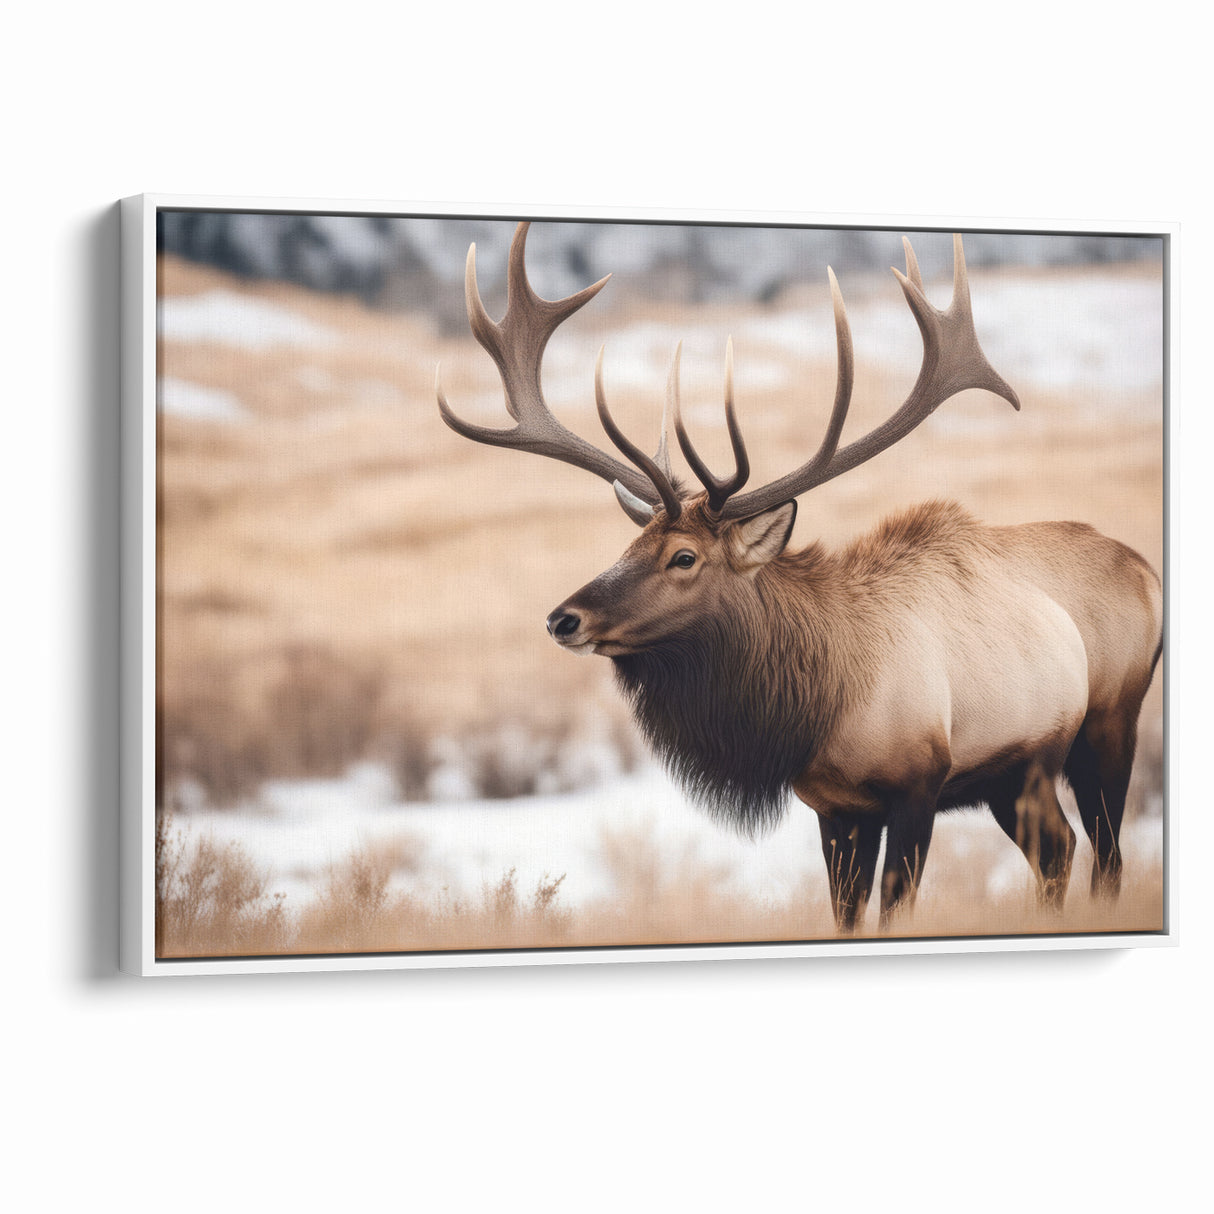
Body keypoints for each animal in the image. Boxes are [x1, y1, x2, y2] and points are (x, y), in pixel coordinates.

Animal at [436, 222, 1162, 931]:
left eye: (683, 557)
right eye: (631, 541)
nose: (564, 618)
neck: (821, 709)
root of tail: (1147, 570)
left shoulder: (920, 782)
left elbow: (896, 907)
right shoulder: (835, 807)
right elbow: (845, 914)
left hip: (1106, 723)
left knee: (1105, 851)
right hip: (1014, 776)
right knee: (1060, 852)